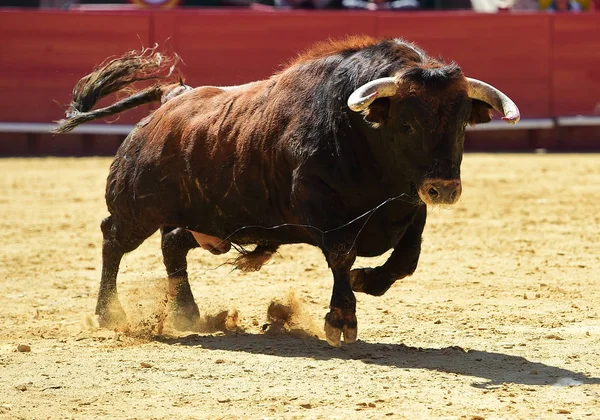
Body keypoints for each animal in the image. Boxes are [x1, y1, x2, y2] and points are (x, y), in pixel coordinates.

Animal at [54, 38, 516, 348]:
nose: (444, 189)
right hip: (137, 209)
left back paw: (188, 314)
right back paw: (109, 313)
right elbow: (341, 255)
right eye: (407, 124)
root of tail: (173, 98)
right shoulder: (324, 208)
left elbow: (407, 259)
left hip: (215, 226)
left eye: (461, 125)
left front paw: (366, 281)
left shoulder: (409, 205)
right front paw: (341, 319)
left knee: (173, 244)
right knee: (113, 239)